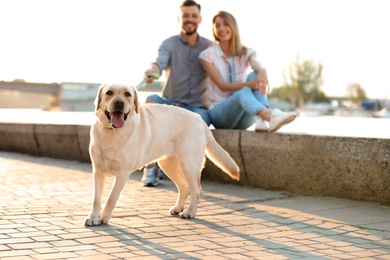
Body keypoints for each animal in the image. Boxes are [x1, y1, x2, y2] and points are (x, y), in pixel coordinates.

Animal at [84, 84, 239, 225]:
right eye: (109, 92)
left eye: (127, 94)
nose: (119, 102)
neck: (112, 132)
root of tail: (199, 118)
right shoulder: (98, 171)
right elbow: (96, 198)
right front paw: (93, 217)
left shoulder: (122, 174)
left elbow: (111, 198)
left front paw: (103, 217)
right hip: (169, 165)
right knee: (184, 186)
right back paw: (178, 208)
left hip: (189, 165)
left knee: (196, 189)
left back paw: (189, 212)